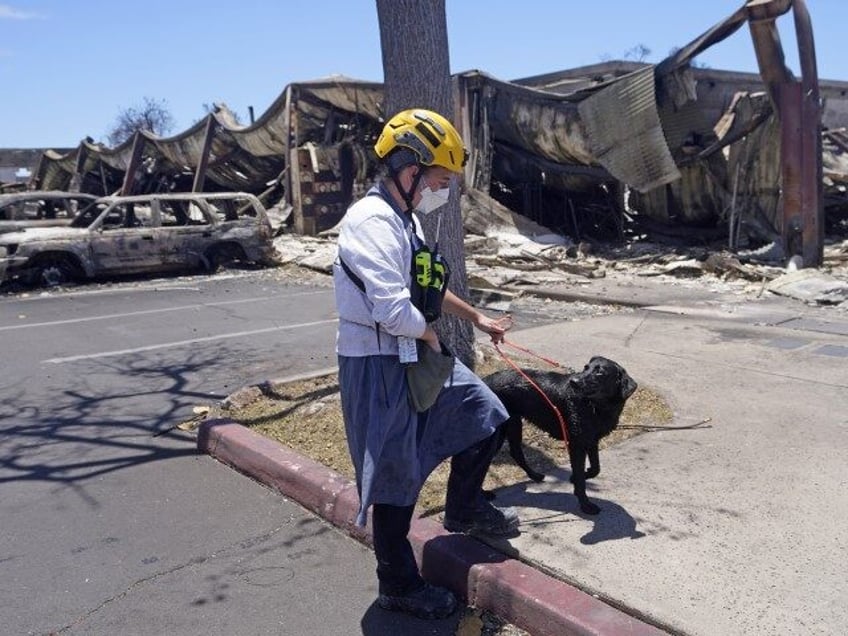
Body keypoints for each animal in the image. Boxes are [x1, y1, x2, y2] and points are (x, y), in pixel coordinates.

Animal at [484, 356, 636, 516]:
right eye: (586, 368)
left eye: (599, 372)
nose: (573, 381)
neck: (596, 406)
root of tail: (484, 380)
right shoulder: (577, 445)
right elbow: (581, 479)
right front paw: (585, 504)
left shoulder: (591, 440)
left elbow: (596, 468)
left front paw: (581, 475)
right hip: (497, 432)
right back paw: (484, 494)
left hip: (513, 423)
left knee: (516, 452)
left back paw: (535, 475)